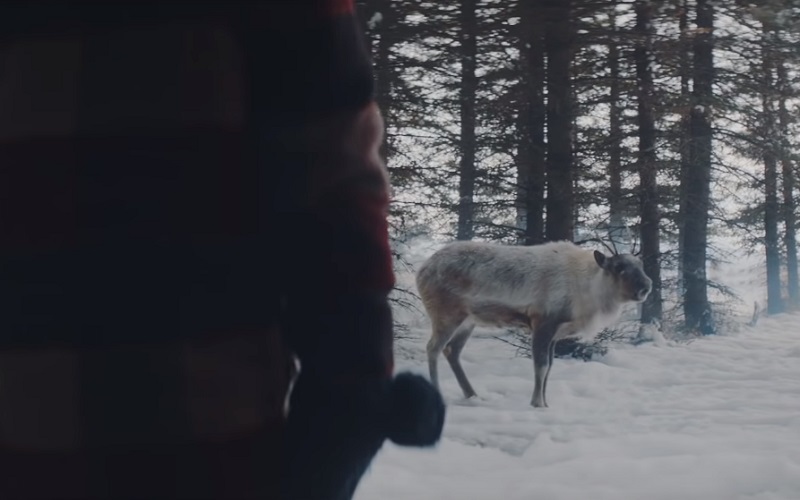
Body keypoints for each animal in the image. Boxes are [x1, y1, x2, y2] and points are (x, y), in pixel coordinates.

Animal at [416, 239, 652, 408]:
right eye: (619, 267)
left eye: (641, 265)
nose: (646, 286)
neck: (588, 291)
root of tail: (422, 270)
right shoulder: (542, 323)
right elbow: (541, 366)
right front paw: (537, 402)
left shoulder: (556, 334)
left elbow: (550, 367)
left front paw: (545, 402)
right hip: (446, 314)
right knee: (433, 348)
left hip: (468, 321)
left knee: (451, 351)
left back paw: (472, 394)